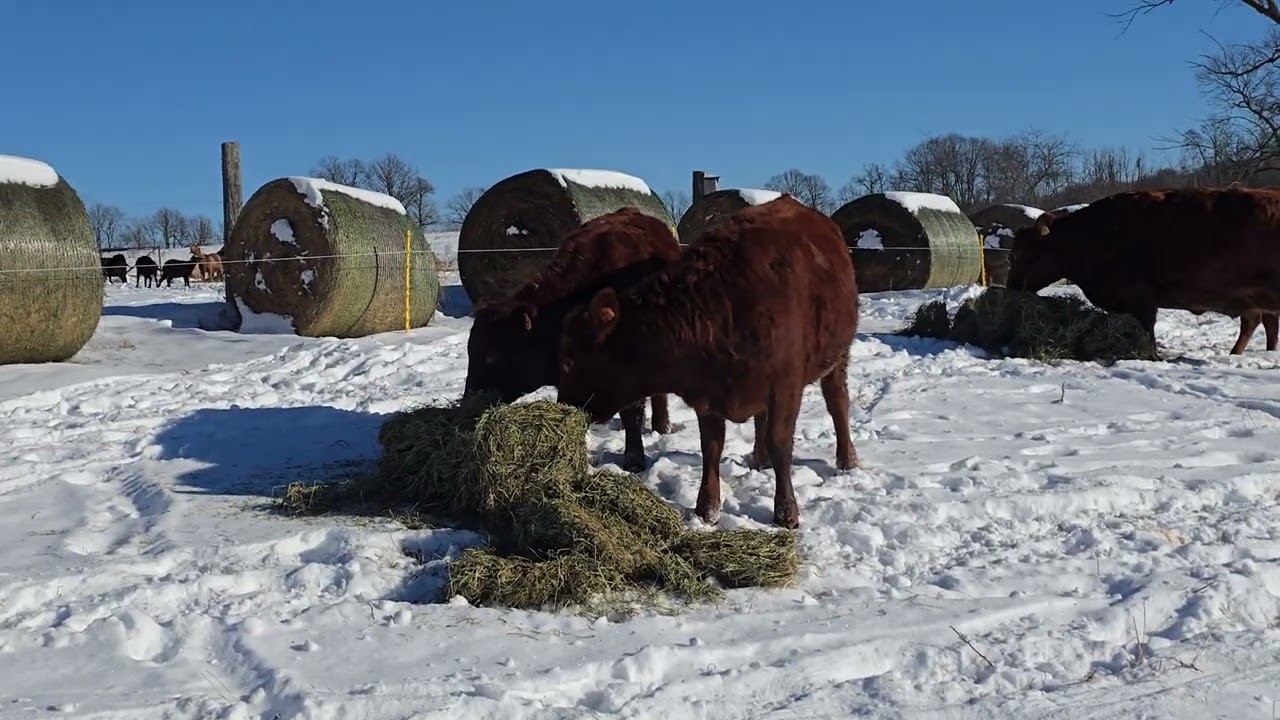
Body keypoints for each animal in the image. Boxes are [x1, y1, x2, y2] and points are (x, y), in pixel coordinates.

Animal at [463, 207, 682, 471]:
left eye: (492, 356)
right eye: (470, 350)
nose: (467, 406)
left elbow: (632, 412)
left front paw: (634, 459)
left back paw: (662, 425)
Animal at [555, 195, 860, 529]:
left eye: (569, 360)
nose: (563, 407)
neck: (721, 309)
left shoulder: (785, 387)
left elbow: (781, 443)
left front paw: (786, 512)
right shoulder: (709, 395)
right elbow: (711, 446)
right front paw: (707, 509)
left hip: (838, 357)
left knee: (837, 403)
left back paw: (847, 459)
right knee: (761, 420)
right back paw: (759, 458)